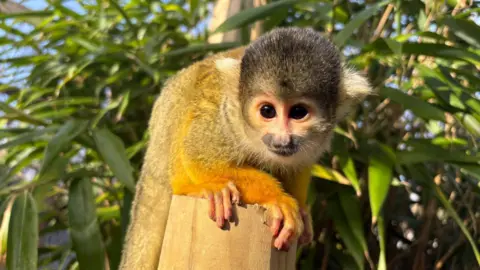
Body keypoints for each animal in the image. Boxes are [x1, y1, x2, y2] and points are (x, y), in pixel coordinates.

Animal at [119, 26, 372, 268]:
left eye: (299, 112)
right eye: (267, 111)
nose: (282, 140)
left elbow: (296, 166)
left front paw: (301, 209)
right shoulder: (228, 118)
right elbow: (198, 154)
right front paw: (276, 198)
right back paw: (193, 187)